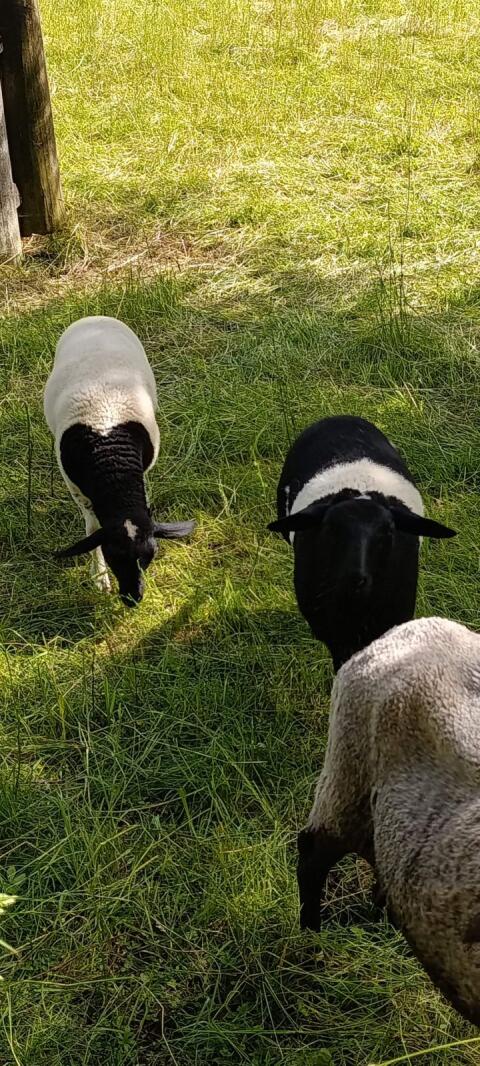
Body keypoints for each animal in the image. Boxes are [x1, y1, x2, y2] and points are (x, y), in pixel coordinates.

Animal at [44, 315, 195, 606]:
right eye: (112, 556)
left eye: (150, 557)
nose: (133, 598)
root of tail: (95, 316)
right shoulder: (77, 489)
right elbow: (92, 528)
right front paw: (100, 578)